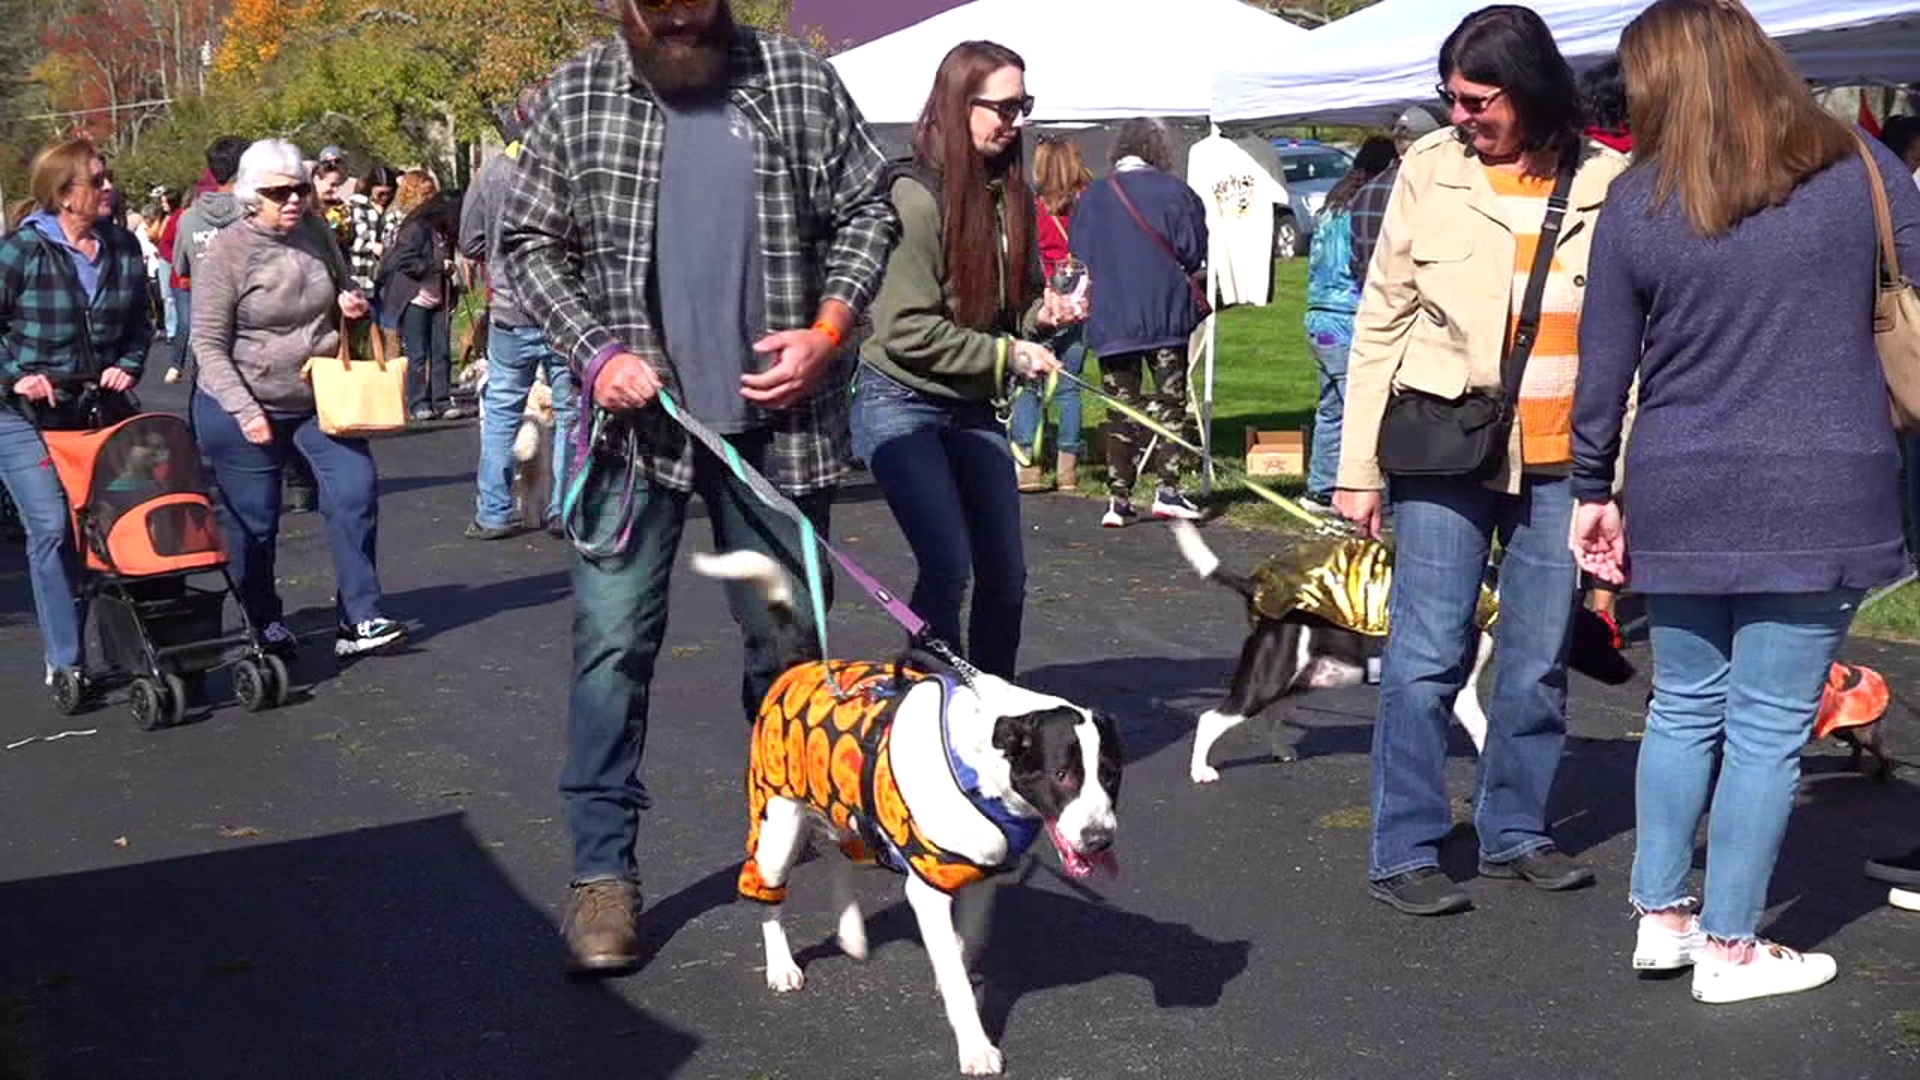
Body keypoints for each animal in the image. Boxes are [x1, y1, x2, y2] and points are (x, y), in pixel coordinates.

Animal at [691, 549, 1121, 1068]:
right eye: (1063, 775)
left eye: (1111, 775)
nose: (1100, 839)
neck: (981, 763)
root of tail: (800, 666)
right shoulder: (929, 890)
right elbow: (957, 978)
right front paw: (975, 1046)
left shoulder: (981, 875)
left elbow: (967, 942)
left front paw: (954, 967)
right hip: (776, 827)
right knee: (768, 896)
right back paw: (781, 966)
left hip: (850, 808)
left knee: (841, 856)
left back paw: (851, 932)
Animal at [1167, 522, 1635, 780]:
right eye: (1603, 640)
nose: (1631, 674)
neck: (1494, 596)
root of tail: (1259, 590)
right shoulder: (1460, 691)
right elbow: (1485, 732)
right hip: (1266, 679)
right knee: (1212, 719)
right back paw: (1200, 771)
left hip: (1300, 680)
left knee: (1272, 715)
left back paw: (1282, 751)